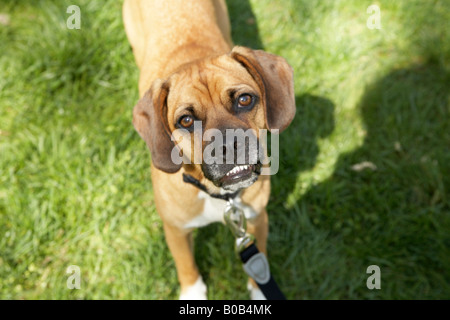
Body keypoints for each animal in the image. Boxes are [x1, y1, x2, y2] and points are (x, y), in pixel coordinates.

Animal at [123, 0, 296, 300]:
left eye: (245, 99)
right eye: (186, 120)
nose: (229, 144)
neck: (218, 195)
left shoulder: (256, 219)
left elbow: (259, 261)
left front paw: (259, 292)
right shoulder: (176, 230)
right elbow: (186, 265)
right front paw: (193, 292)